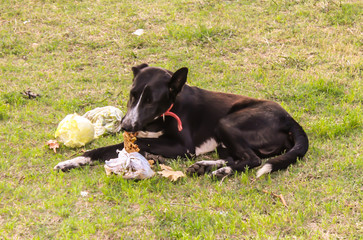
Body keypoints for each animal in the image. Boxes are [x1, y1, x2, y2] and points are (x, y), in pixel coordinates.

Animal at [54, 63, 310, 178]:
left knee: (253, 160)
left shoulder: (182, 146)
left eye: (151, 101)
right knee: (239, 157)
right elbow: (101, 150)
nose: (125, 126)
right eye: (132, 95)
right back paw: (206, 166)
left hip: (227, 123)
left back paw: (221, 171)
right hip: (224, 140)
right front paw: (72, 161)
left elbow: (134, 145)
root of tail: (290, 119)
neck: (165, 113)